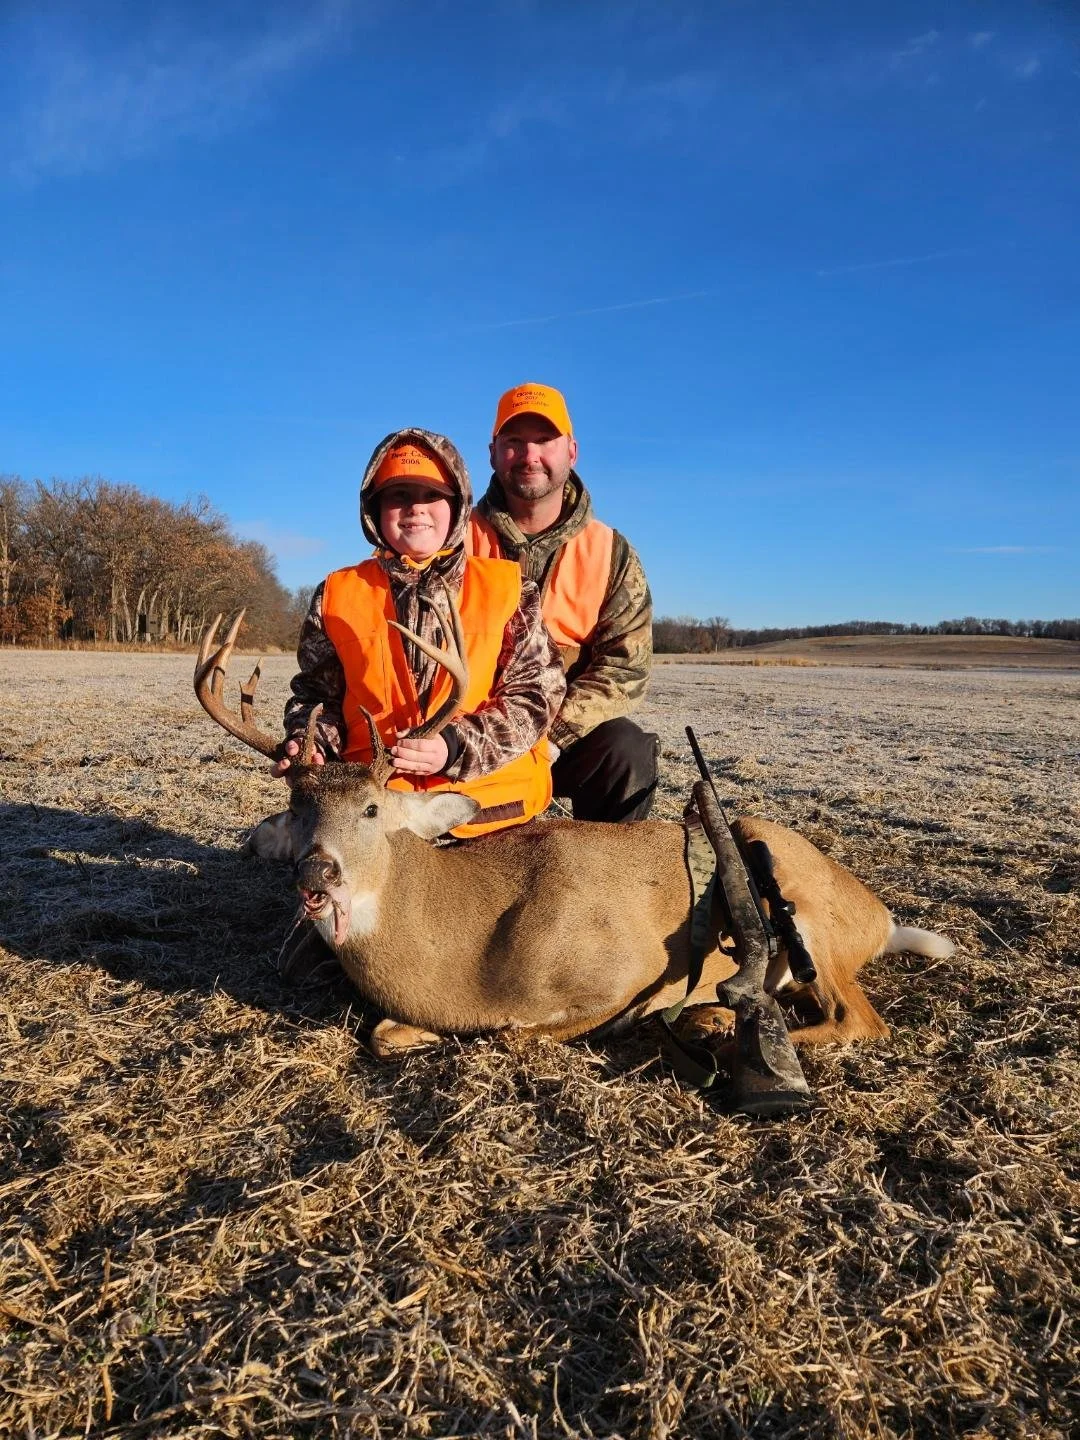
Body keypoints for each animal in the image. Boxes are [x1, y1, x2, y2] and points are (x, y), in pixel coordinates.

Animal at [195, 603, 953, 1109]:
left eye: (373, 810)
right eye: (299, 809)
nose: (316, 874)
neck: (463, 955)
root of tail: (879, 917)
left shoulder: (617, 975)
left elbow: (514, 1033)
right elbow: (384, 1032)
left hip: (797, 889)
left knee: (862, 1019)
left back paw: (713, 1019)